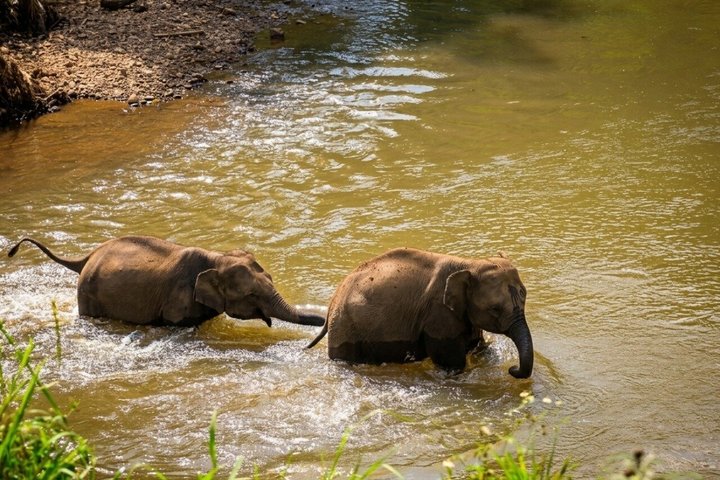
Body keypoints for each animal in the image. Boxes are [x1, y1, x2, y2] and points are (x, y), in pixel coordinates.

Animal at [8, 235, 325, 328]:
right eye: (251, 295)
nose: (324, 319)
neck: (214, 258)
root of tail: (88, 257)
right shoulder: (177, 300)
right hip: (88, 295)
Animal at [306, 248, 533, 378]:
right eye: (495, 309)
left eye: (525, 296)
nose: (512, 369)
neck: (469, 263)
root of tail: (332, 302)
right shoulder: (438, 314)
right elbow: (452, 361)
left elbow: (479, 345)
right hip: (345, 329)